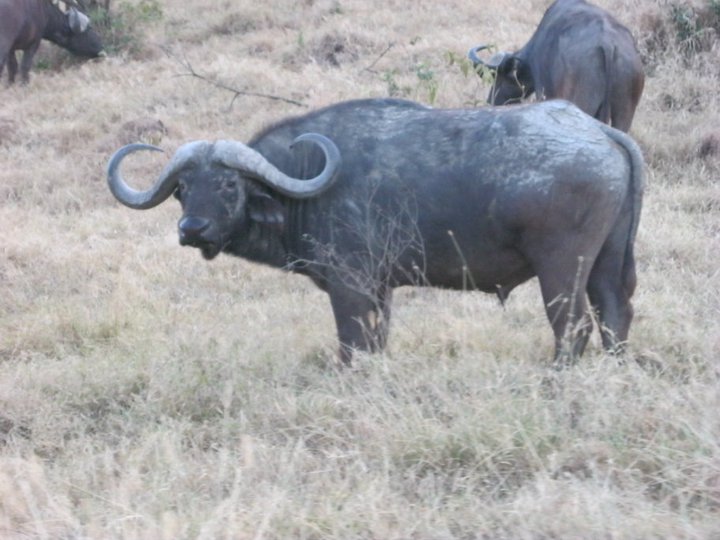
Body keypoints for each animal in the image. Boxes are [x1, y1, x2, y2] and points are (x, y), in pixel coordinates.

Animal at [108, 99, 648, 364]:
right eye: (181, 189)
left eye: (227, 183)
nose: (191, 229)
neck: (304, 181)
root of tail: (597, 130)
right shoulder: (381, 290)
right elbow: (377, 342)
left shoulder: (352, 287)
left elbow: (354, 345)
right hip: (607, 262)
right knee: (615, 316)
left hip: (561, 267)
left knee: (572, 326)